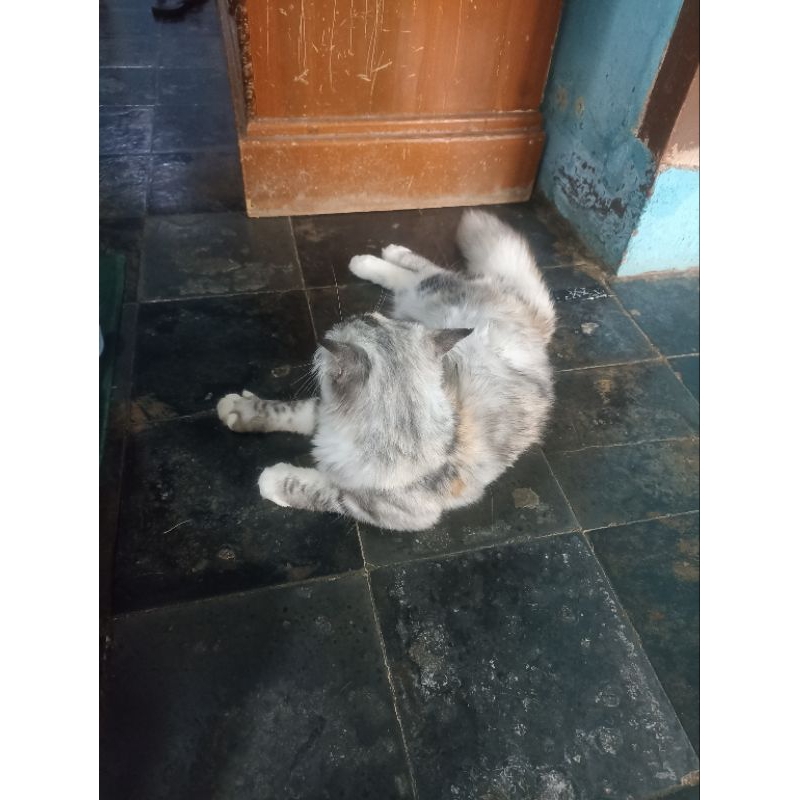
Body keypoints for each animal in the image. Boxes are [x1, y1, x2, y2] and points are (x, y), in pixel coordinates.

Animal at [216, 210, 556, 531]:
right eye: (370, 318)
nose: (341, 323)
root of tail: (537, 327)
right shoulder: (323, 411)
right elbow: (286, 411)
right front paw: (239, 410)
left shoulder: (377, 506)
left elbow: (318, 489)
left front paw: (272, 479)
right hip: (428, 298)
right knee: (417, 274)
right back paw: (374, 258)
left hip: (432, 292)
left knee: (424, 274)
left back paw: (377, 256)